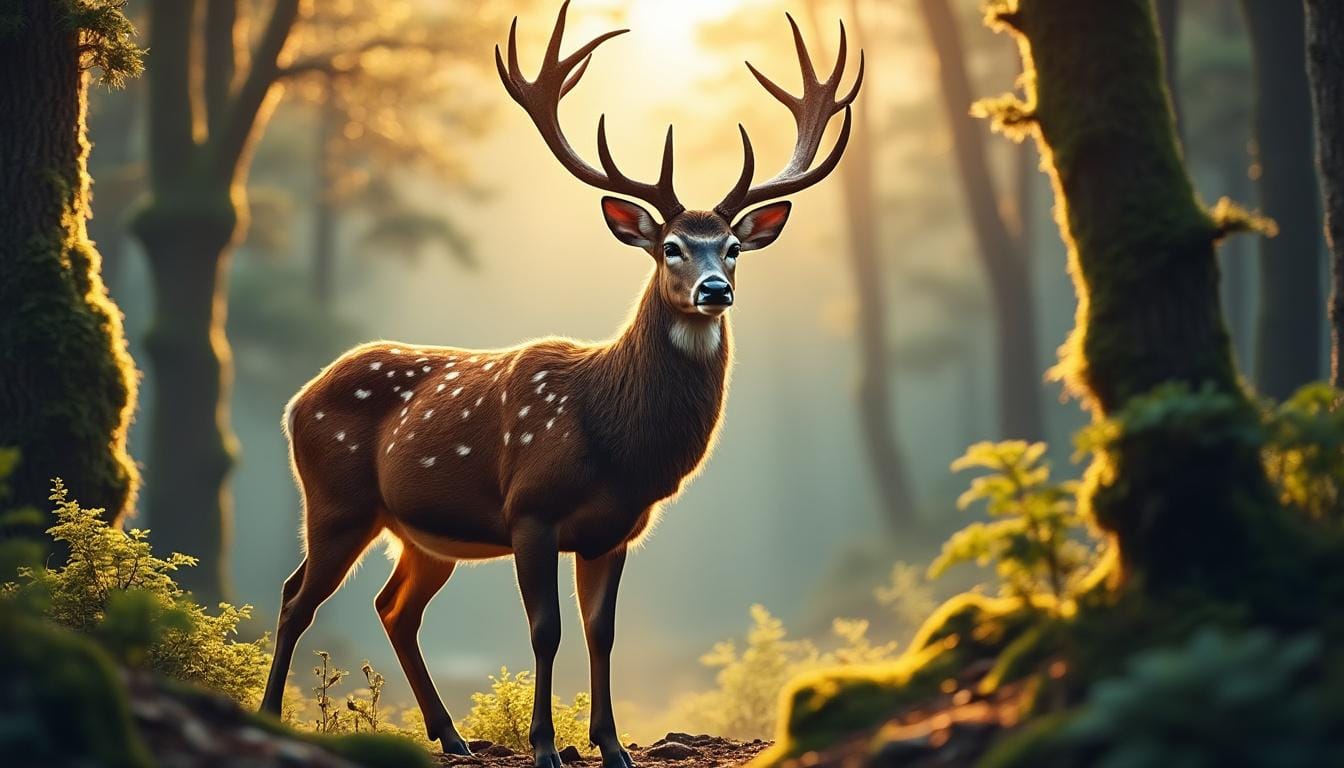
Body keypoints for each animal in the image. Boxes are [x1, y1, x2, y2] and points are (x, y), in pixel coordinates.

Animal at [257, 3, 860, 766]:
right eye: (670, 247)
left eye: (731, 248)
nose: (715, 290)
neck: (614, 440)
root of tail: (296, 402)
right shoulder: (530, 509)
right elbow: (546, 630)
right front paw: (546, 745)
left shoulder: (616, 529)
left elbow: (602, 631)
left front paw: (613, 745)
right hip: (336, 499)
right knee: (295, 596)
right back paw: (272, 713)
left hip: (421, 534)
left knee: (393, 608)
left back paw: (454, 736)